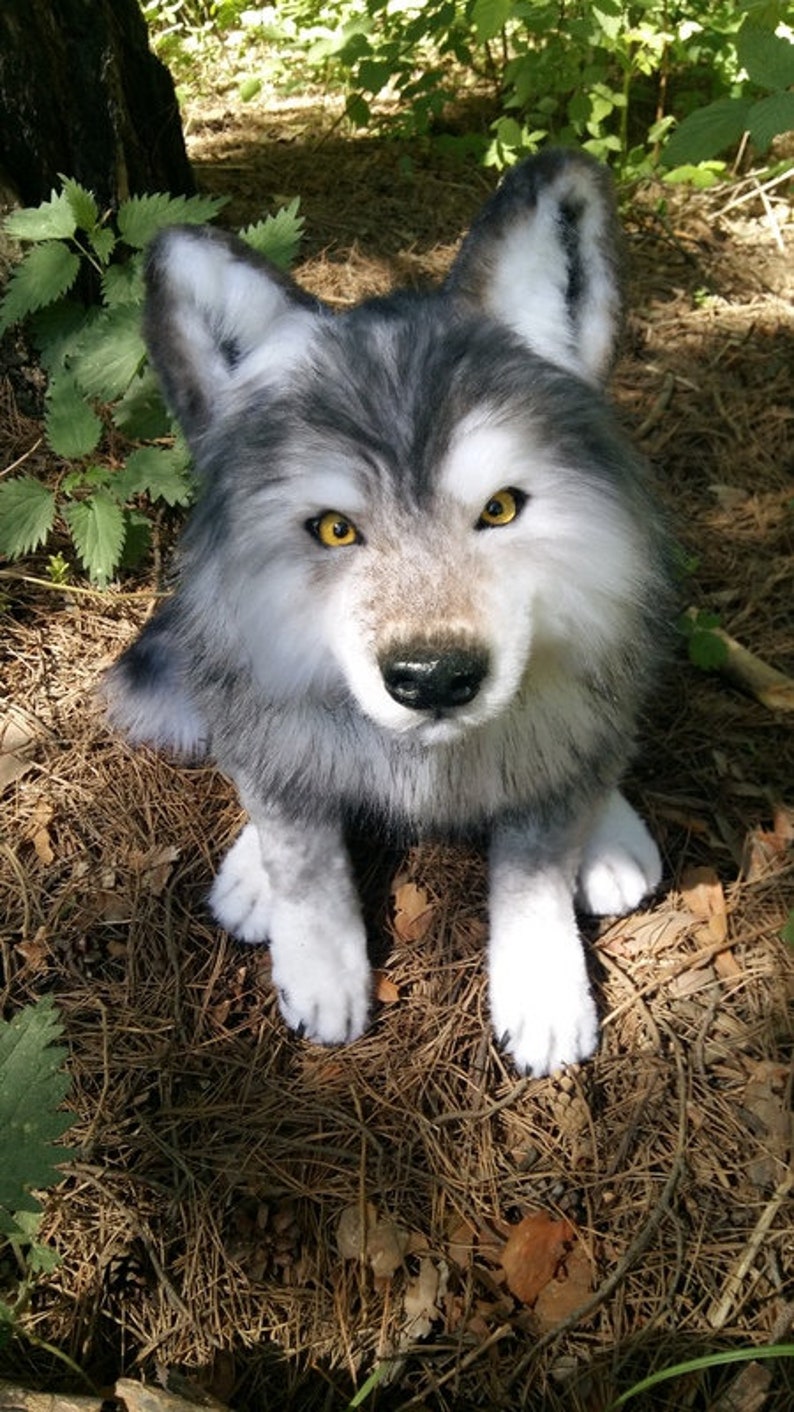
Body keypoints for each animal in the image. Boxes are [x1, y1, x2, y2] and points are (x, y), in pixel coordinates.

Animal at [106, 148, 673, 1077]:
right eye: (336, 529)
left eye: (501, 509)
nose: (434, 680)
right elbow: (301, 850)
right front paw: (318, 966)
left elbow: (535, 873)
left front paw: (543, 992)